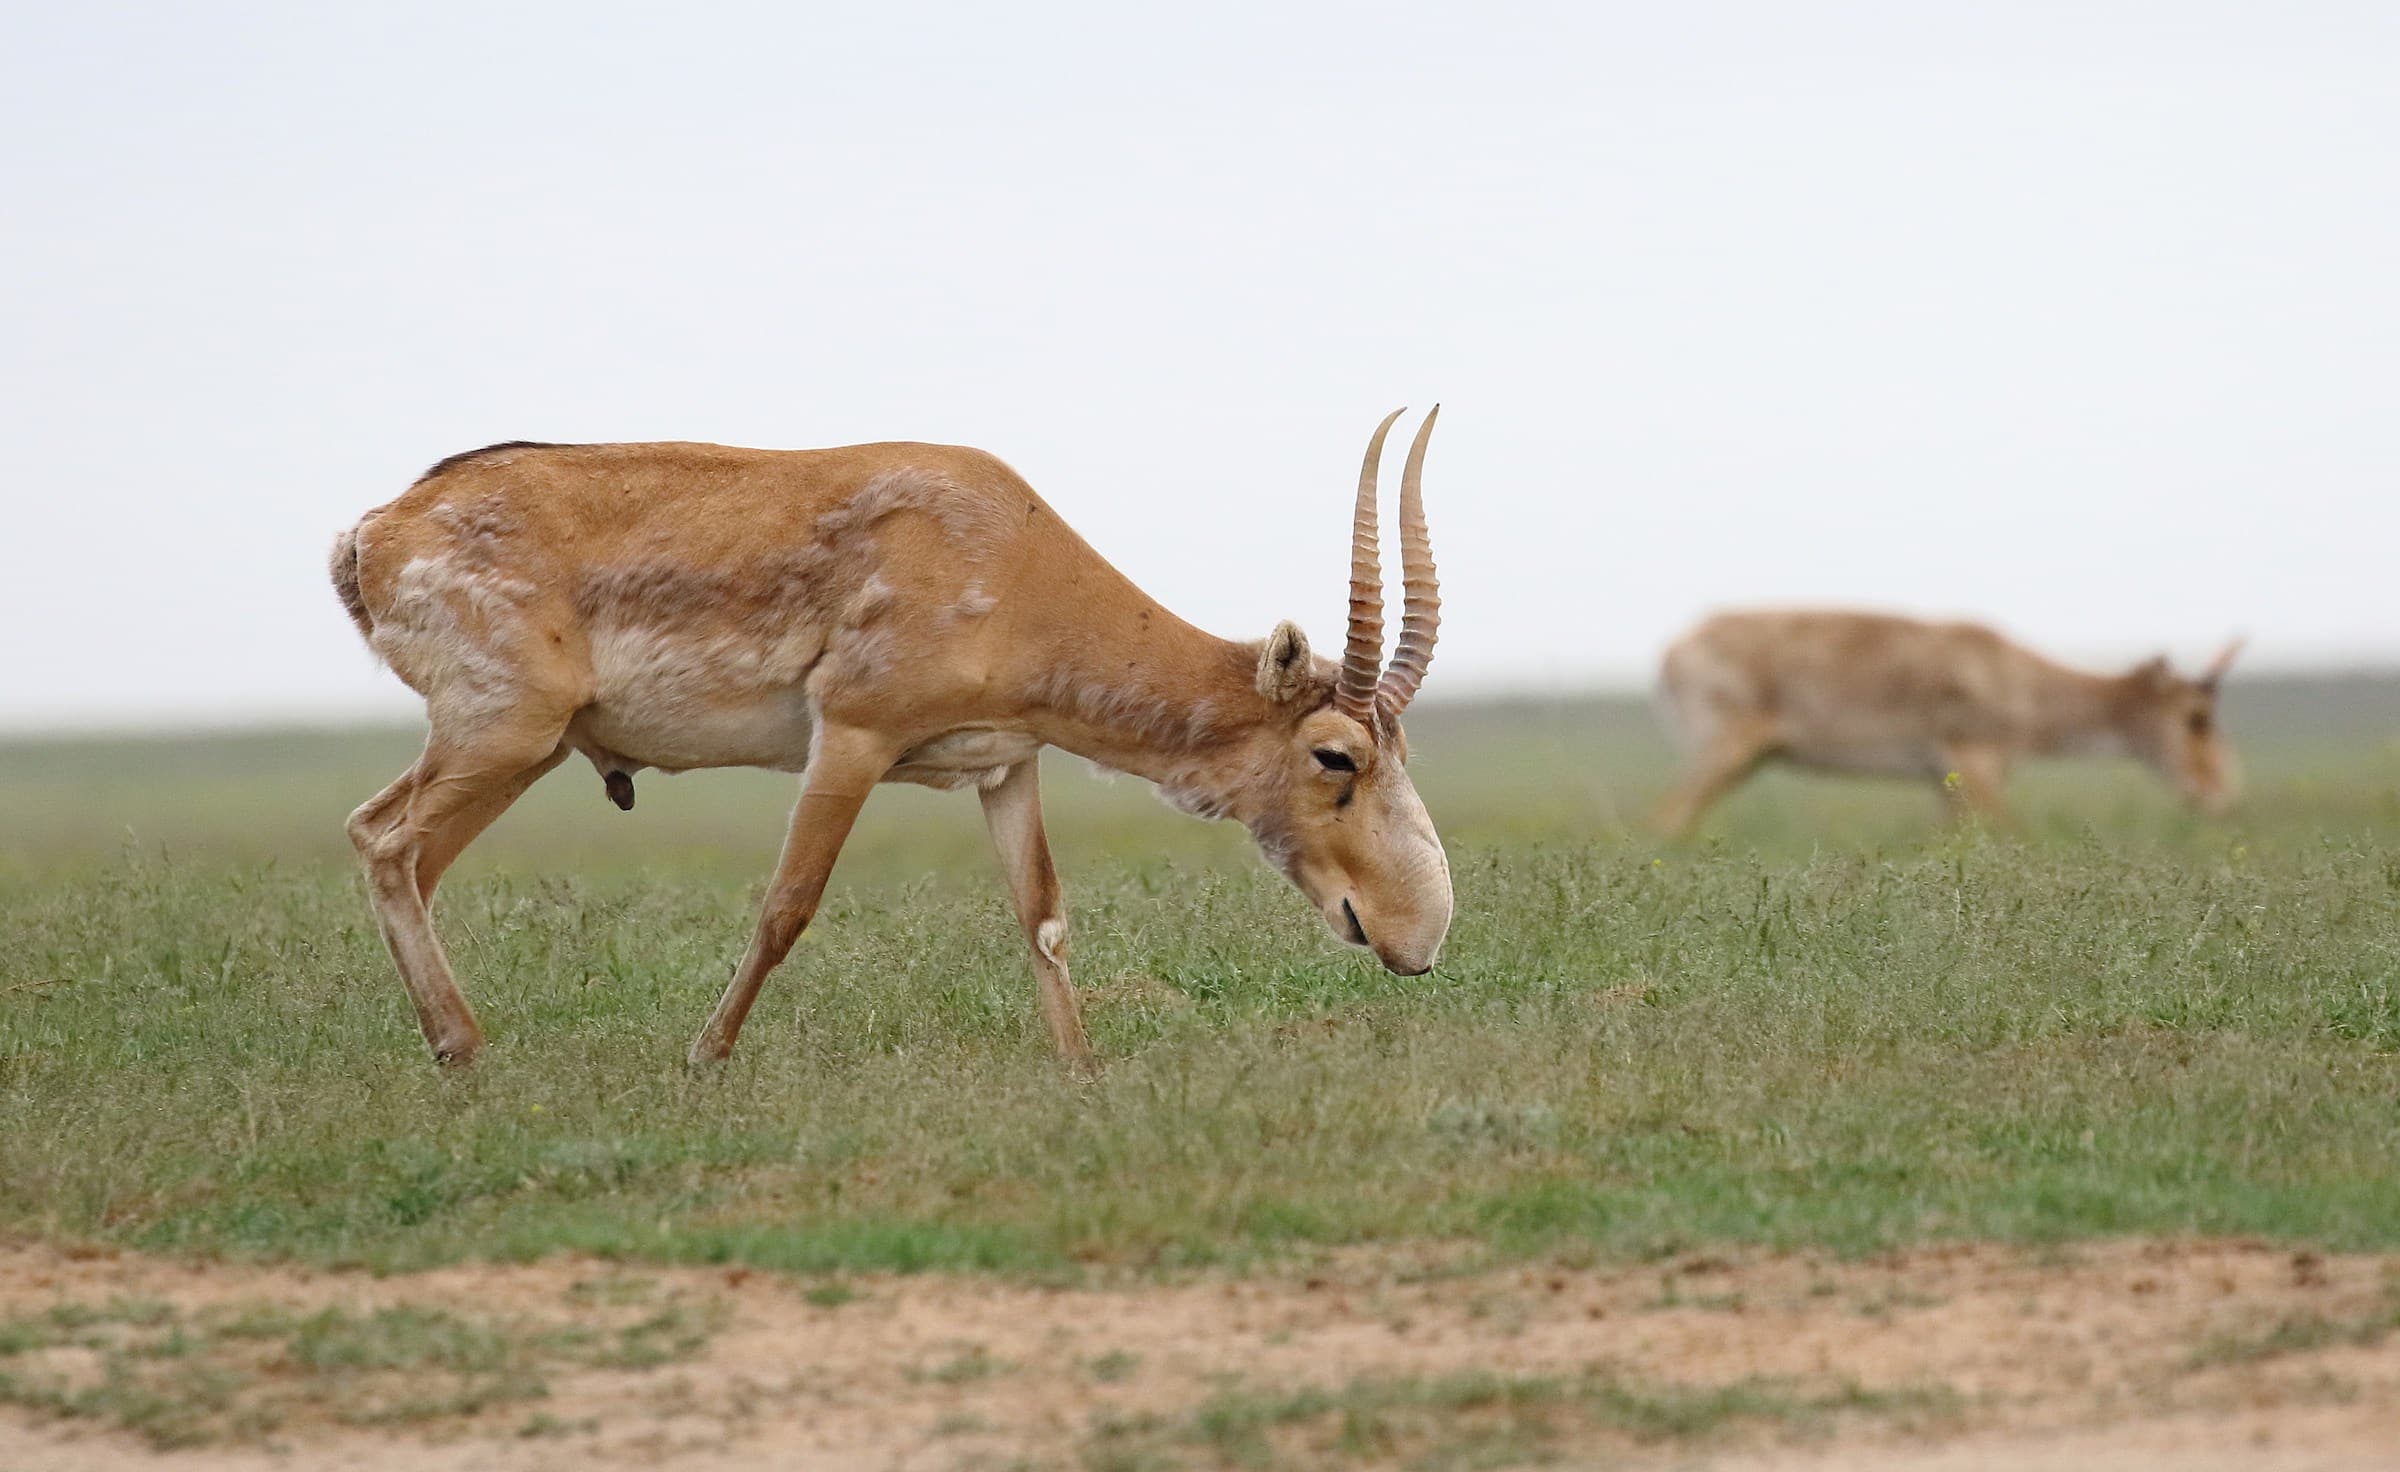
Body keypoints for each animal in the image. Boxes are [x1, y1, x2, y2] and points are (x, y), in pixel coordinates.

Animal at [333, 408, 1459, 1061]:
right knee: (386, 841)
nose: (1419, 934)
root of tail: (375, 530)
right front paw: (704, 1057)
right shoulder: (852, 737)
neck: (1012, 555)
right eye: (1335, 753)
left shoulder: (1005, 764)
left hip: (514, 745)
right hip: (507, 734)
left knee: (396, 845)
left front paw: (1081, 1067)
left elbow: (1043, 917)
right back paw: (464, 1046)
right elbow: (787, 904)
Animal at [1660, 607, 2236, 840]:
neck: (2018, 680)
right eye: (2195, 716)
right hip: (1725, 750)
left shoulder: (1944, 780)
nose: (2218, 793)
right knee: (1669, 817)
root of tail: (1673, 651)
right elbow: (2016, 832)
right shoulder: (1974, 761)